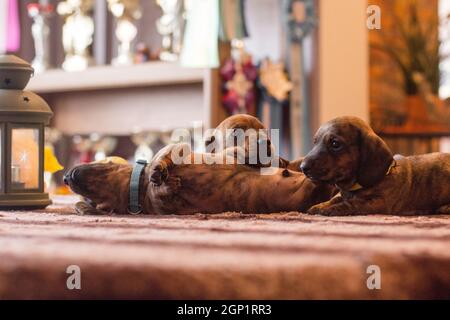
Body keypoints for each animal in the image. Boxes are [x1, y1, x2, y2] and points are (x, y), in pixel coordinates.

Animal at [63, 144, 334, 215]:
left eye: (102, 162)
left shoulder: (176, 149)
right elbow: (164, 192)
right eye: (97, 204)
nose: (65, 176)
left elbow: (163, 156)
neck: (139, 188)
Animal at [298, 116, 450, 216]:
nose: (303, 167)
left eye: (335, 144)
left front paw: (330, 209)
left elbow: (353, 204)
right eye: (315, 142)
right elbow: (334, 198)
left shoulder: (378, 202)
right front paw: (319, 205)